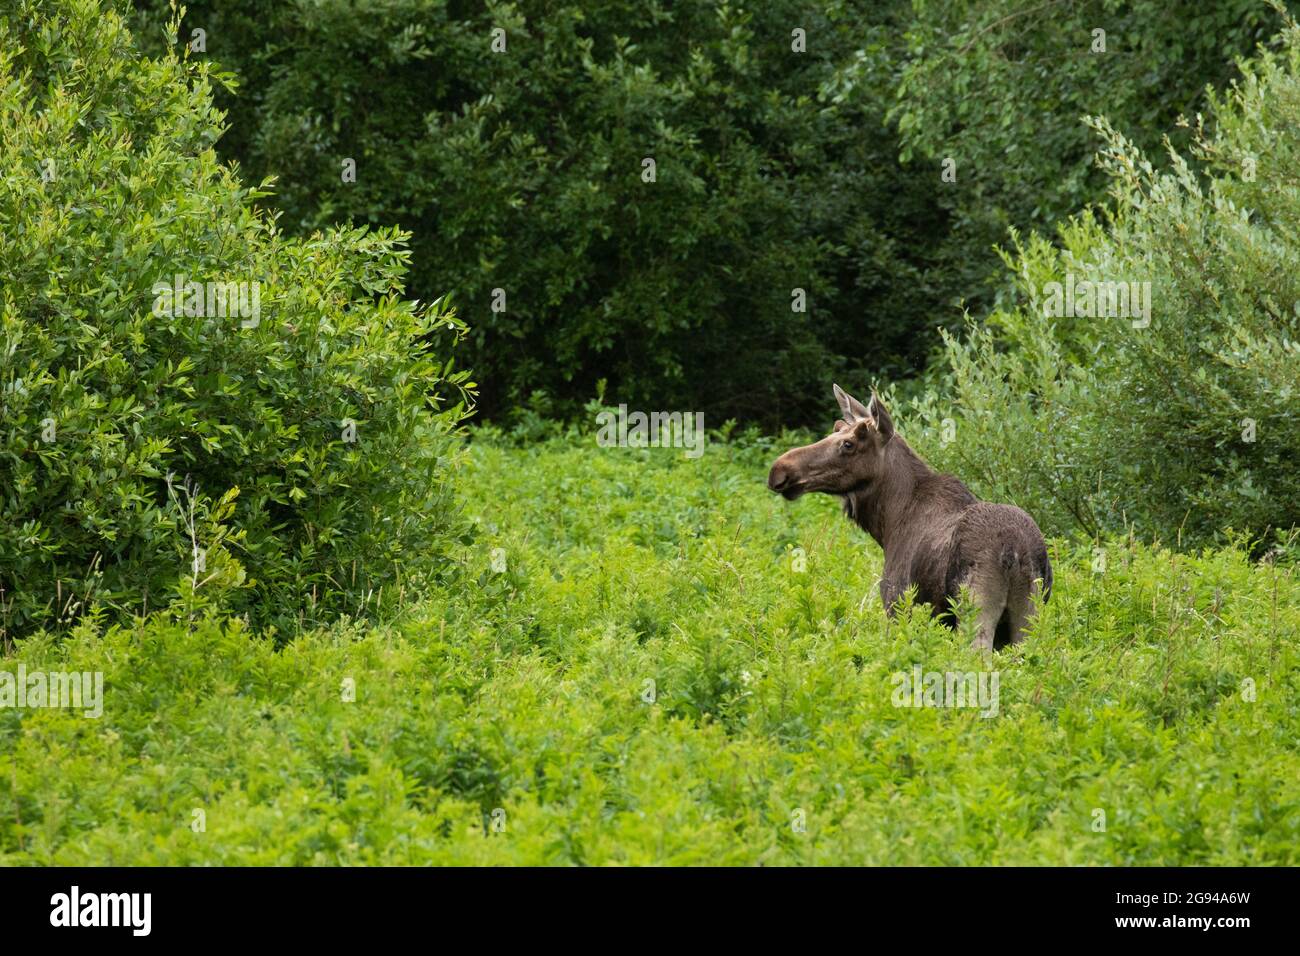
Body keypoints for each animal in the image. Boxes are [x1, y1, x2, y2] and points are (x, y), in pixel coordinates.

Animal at [764, 385, 1050, 655]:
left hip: (975, 610)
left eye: (849, 443)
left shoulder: (897, 605)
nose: (779, 469)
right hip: (1029, 613)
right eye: (836, 427)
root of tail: (1013, 551)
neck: (887, 524)